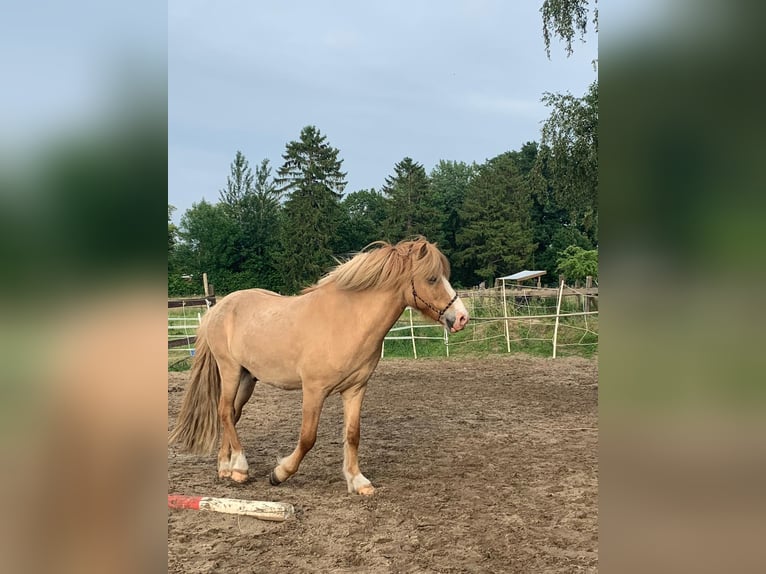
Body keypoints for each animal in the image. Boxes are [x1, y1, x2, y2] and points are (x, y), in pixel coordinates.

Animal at [168, 237, 469, 495]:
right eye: (432, 278)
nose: (461, 318)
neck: (348, 319)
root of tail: (218, 308)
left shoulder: (355, 389)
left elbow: (352, 434)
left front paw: (358, 481)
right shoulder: (314, 390)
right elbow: (308, 437)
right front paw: (280, 473)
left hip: (247, 378)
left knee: (230, 413)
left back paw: (225, 467)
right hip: (229, 370)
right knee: (224, 412)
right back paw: (240, 468)